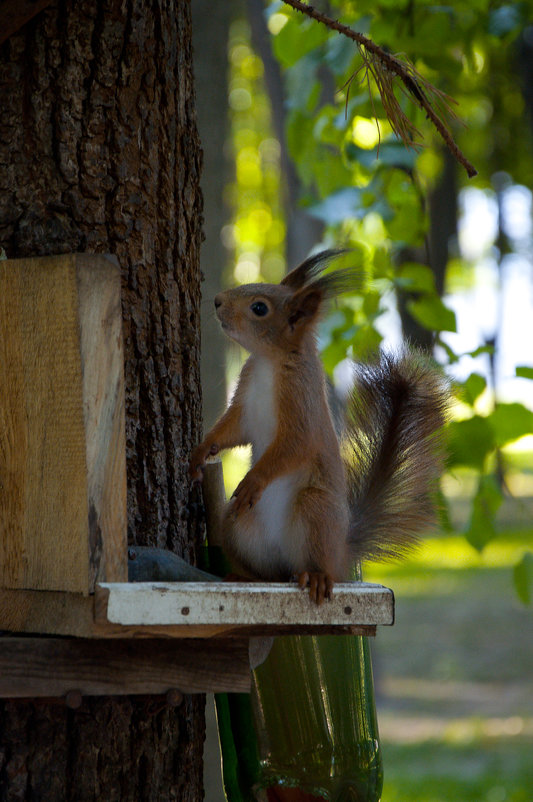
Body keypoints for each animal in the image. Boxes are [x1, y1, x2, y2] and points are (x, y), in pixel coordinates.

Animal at [189, 248, 446, 600]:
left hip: (316, 510)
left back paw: (318, 576)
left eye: (259, 308)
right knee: (270, 573)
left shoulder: (302, 408)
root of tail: (342, 551)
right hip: (236, 525)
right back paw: (244, 577)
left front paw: (254, 480)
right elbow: (231, 430)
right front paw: (202, 450)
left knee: (320, 565)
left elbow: (292, 447)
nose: (217, 301)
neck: (269, 361)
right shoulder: (243, 403)